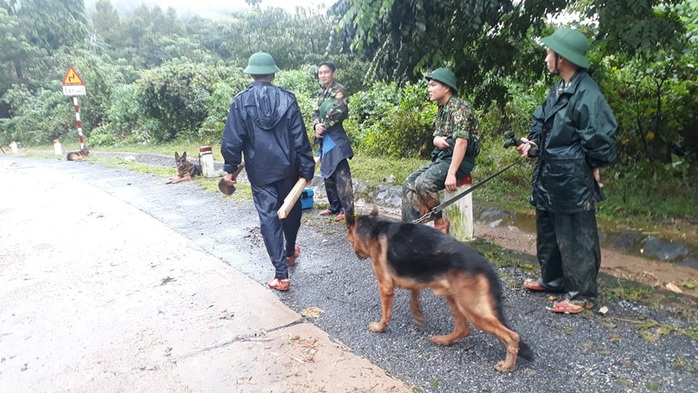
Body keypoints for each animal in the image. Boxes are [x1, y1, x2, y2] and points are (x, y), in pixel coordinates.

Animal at [344, 207, 532, 372]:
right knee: (463, 329)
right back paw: (444, 340)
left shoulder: (385, 287)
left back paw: (507, 365)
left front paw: (380, 327)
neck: (374, 228)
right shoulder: (416, 279)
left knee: (511, 336)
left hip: (471, 308)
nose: (355, 252)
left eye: (350, 238)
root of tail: (486, 267)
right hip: (455, 300)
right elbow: (414, 296)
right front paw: (418, 316)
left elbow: (386, 314)